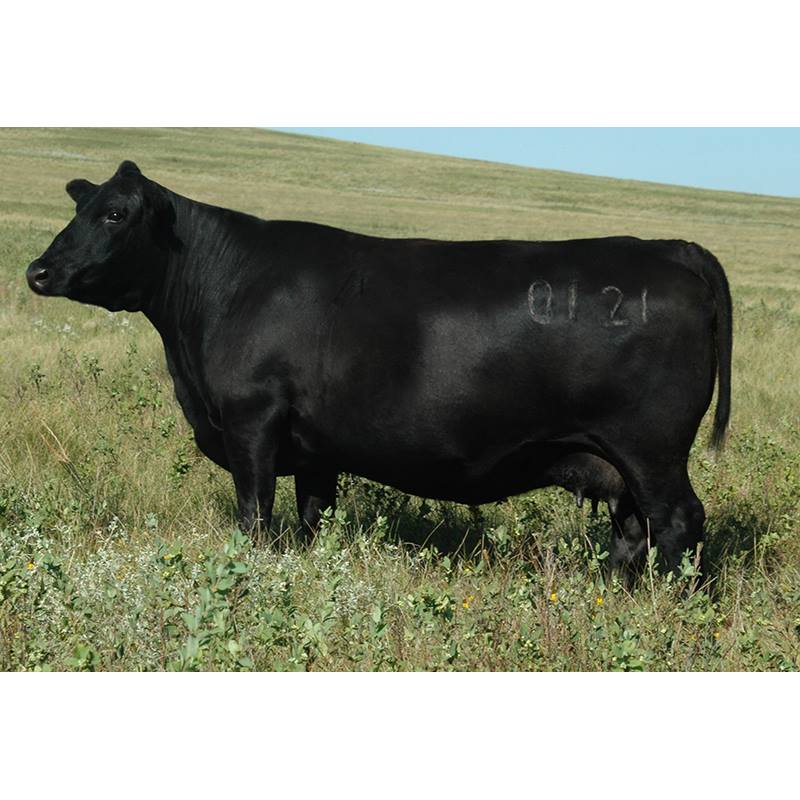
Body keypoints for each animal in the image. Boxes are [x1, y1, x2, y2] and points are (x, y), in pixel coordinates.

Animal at [26, 161, 732, 579]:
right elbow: (310, 519)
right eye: (78, 209)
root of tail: (670, 248)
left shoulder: (252, 420)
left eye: (115, 213)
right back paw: (611, 589)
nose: (37, 270)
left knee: (676, 520)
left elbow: (255, 517)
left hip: (651, 447)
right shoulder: (314, 445)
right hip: (619, 458)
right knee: (633, 526)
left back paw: (661, 600)